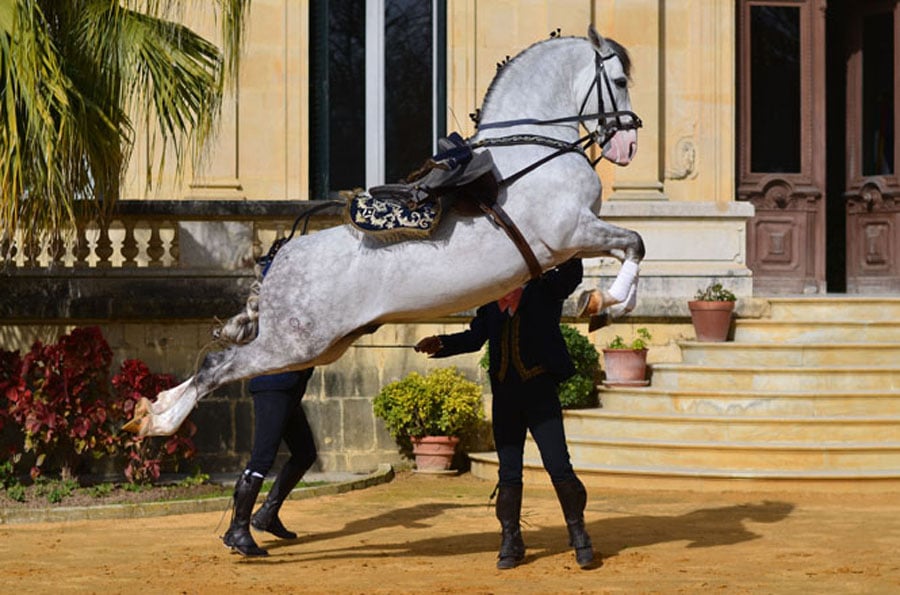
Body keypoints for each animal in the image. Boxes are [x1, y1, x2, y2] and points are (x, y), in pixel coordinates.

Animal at [125, 25, 648, 438]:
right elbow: (636, 244)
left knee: (216, 364)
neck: (533, 150)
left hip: (317, 348)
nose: (628, 143)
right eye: (620, 81)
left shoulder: (571, 243)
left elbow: (630, 248)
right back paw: (161, 421)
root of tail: (277, 260)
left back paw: (151, 413)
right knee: (218, 366)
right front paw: (606, 303)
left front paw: (603, 304)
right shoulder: (572, 232)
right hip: (293, 344)